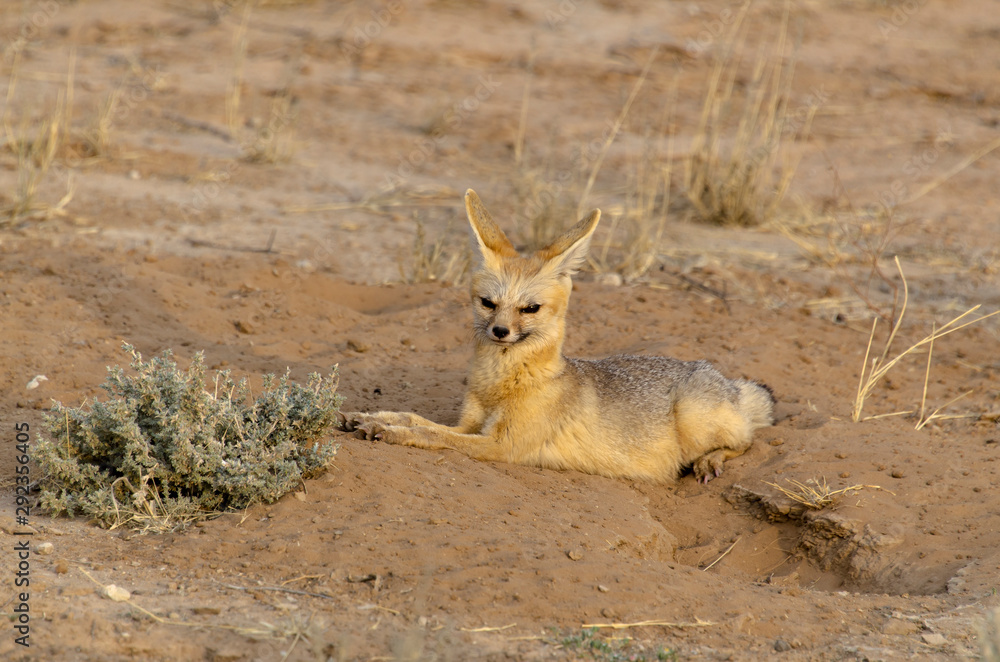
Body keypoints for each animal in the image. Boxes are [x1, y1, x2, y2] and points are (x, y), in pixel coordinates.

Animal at [338, 189, 775, 483]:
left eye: (529, 309)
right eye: (488, 303)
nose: (500, 331)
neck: (503, 384)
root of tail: (726, 380)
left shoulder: (500, 445)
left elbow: (430, 435)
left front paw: (387, 431)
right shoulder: (471, 426)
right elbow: (418, 418)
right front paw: (367, 416)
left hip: (694, 420)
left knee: (747, 440)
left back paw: (710, 459)